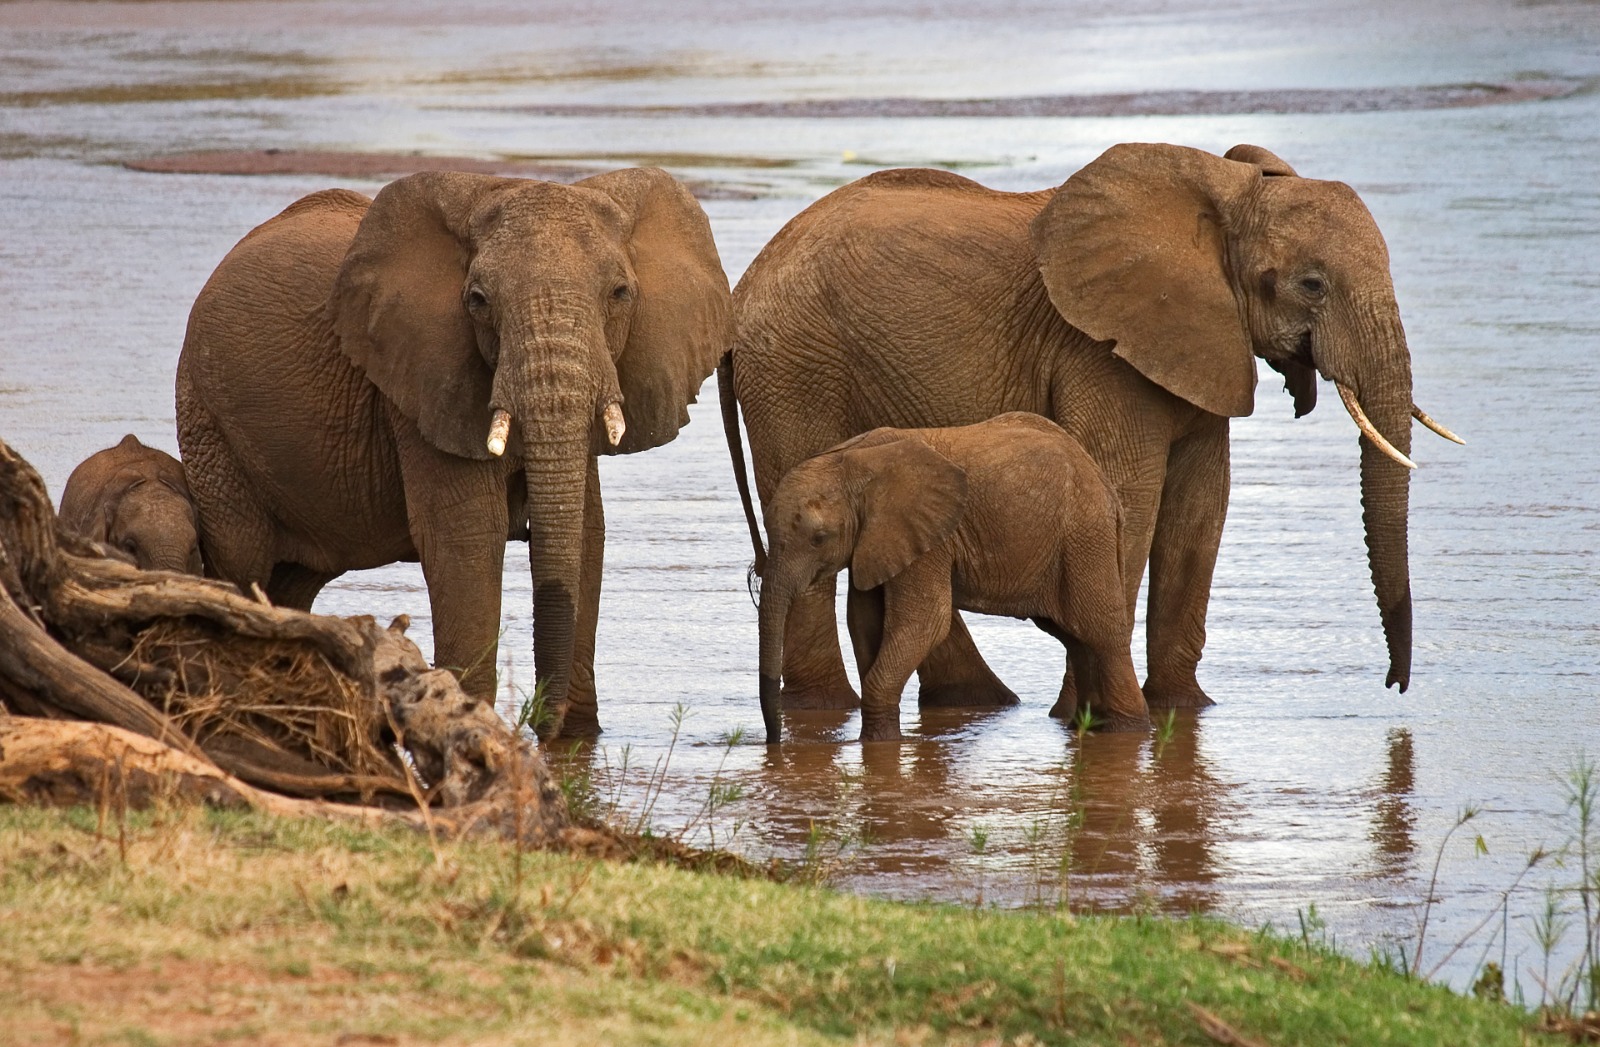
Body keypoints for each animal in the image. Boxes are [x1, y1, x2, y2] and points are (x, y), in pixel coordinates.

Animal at [177, 168, 730, 738]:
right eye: (478, 300)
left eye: (620, 293)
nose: (539, 722)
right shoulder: (421, 380)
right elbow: (467, 537)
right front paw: (470, 720)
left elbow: (586, 534)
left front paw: (576, 738)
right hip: (207, 419)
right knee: (243, 558)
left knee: (293, 583)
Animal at [758, 413, 1147, 743]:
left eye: (819, 538)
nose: (774, 742)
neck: (852, 460)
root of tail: (1104, 484)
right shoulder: (875, 541)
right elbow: (864, 621)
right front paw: (878, 741)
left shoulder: (928, 539)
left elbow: (925, 621)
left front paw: (880, 743)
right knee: (1075, 637)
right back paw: (1088, 725)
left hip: (1084, 537)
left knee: (1100, 631)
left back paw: (1124, 729)